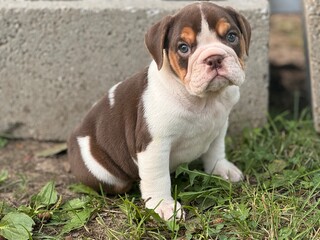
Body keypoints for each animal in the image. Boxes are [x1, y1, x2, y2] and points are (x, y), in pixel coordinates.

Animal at [69, 1, 251, 220]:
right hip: (102, 171)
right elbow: (158, 177)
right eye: (183, 48)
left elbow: (216, 149)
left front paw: (221, 168)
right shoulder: (154, 144)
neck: (204, 100)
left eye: (231, 36)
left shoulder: (220, 124)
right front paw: (162, 205)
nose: (214, 58)